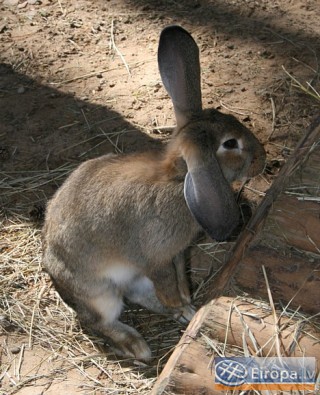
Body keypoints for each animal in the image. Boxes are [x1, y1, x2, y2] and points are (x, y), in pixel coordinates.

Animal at [43, 26, 268, 362]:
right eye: (230, 144)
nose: (262, 159)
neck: (178, 178)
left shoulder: (177, 254)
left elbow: (179, 279)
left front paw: (186, 303)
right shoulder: (155, 258)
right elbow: (166, 281)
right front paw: (179, 304)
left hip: (131, 281)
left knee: (139, 296)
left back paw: (182, 315)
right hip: (99, 292)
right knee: (99, 320)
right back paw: (137, 346)